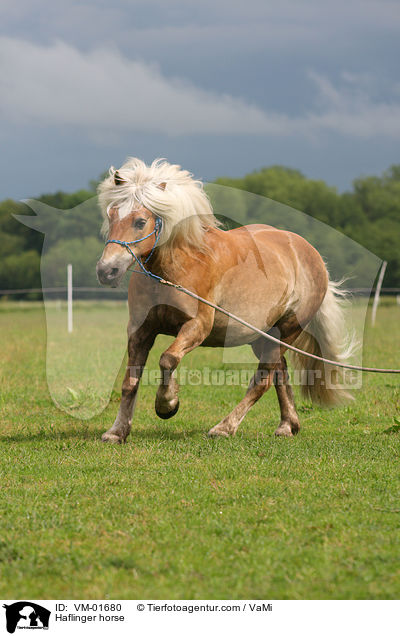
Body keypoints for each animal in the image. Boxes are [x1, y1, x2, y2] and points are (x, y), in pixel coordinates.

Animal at [96, 158, 354, 442]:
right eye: (111, 215)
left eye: (140, 221)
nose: (107, 271)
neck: (177, 267)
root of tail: (311, 254)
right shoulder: (140, 330)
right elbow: (130, 382)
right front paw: (117, 431)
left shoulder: (197, 326)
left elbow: (168, 359)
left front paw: (167, 404)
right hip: (263, 336)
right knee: (280, 373)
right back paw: (288, 425)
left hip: (287, 331)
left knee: (263, 380)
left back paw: (224, 427)